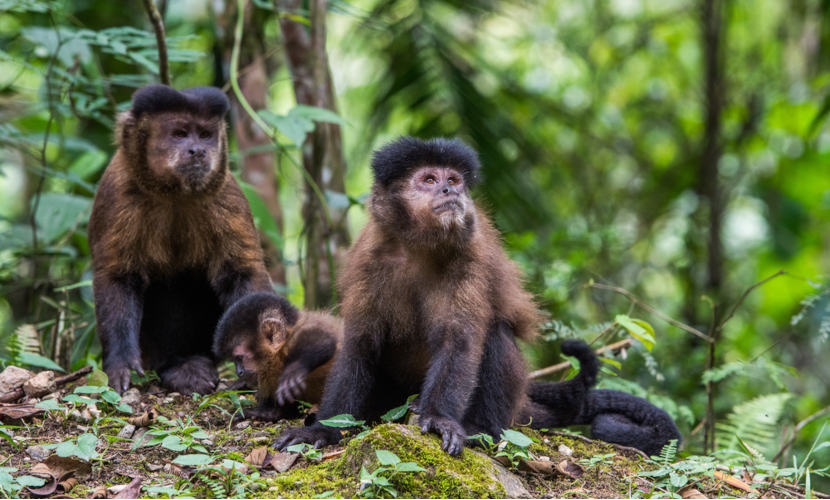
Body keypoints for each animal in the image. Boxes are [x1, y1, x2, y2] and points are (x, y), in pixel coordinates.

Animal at [216, 292, 346, 420]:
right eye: (234, 360)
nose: (239, 372)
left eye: (239, 358)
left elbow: (326, 338)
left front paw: (295, 369)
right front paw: (263, 413)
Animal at [276, 138, 600, 458]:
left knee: (495, 334)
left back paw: (480, 430)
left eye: (453, 180)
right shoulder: (368, 260)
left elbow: (456, 340)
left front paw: (439, 419)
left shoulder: (469, 257)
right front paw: (322, 430)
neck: (417, 247)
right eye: (430, 180)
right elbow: (360, 344)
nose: (451, 190)